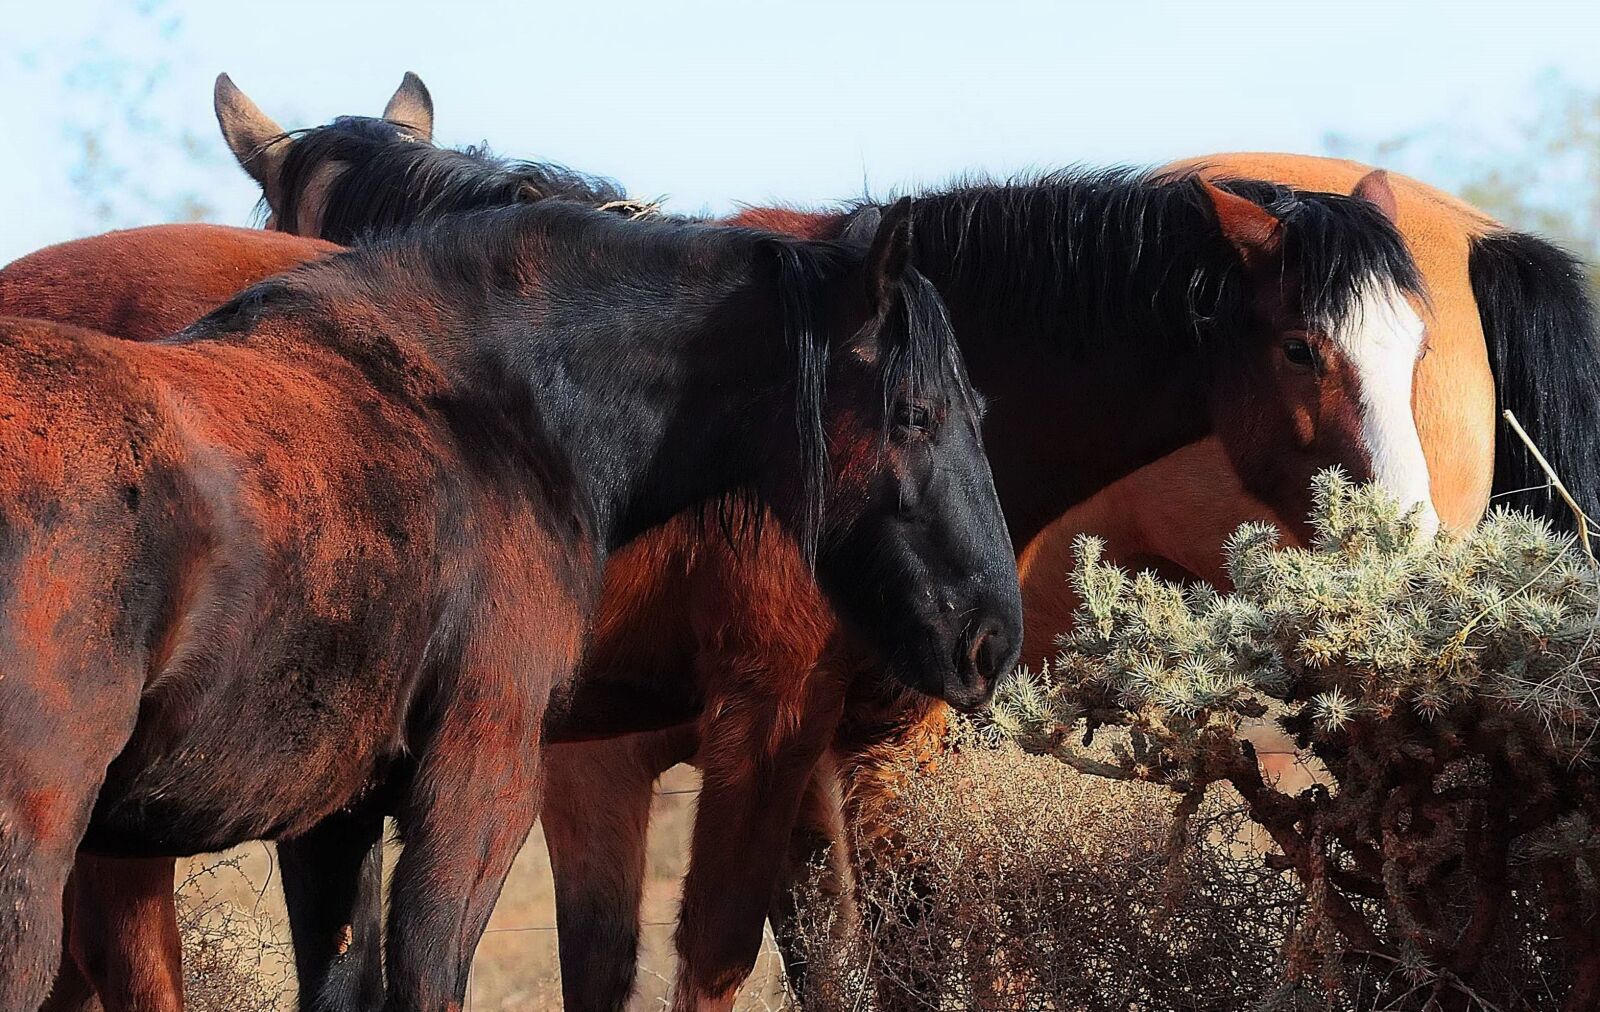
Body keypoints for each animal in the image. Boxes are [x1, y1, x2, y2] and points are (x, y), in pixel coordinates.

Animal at [0, 196, 1023, 1012]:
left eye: (982, 409)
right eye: (914, 414)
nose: (990, 638)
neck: (487, 410)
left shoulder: (336, 822)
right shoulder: (481, 782)